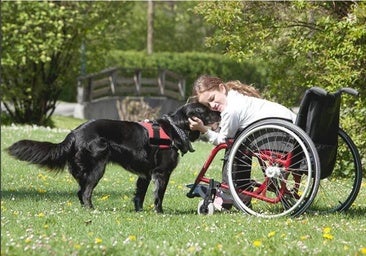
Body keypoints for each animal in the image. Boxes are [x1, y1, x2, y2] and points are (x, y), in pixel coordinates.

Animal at [7, 103, 220, 213]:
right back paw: (92, 210)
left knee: (80, 192)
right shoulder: (161, 172)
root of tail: (74, 133)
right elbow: (158, 196)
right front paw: (160, 213)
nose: (219, 111)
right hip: (97, 167)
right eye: (206, 111)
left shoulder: (144, 174)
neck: (175, 128)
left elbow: (139, 195)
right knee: (85, 192)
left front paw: (140, 212)